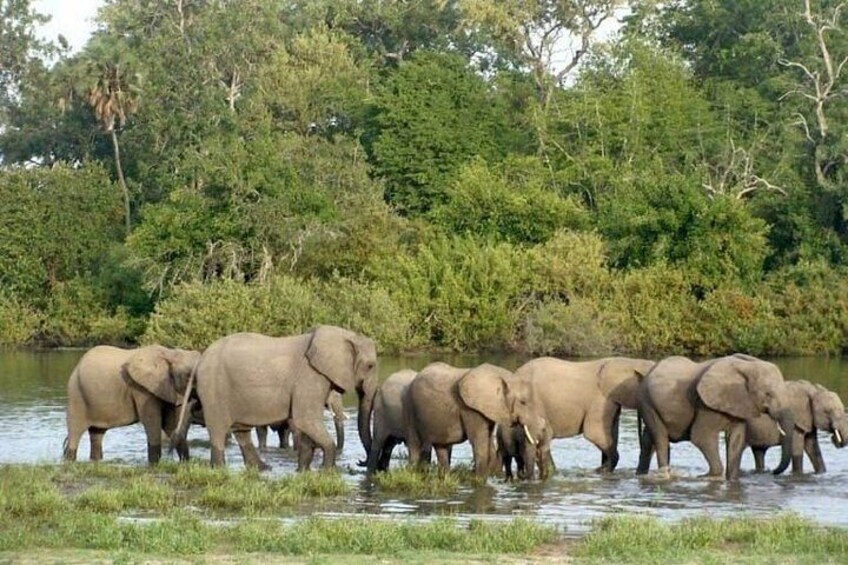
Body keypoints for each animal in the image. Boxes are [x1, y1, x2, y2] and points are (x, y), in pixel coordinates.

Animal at [64, 344, 201, 465]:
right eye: (190, 375)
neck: (171, 353)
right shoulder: (142, 390)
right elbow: (152, 422)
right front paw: (154, 465)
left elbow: (170, 425)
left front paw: (185, 464)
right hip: (76, 394)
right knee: (75, 433)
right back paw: (69, 461)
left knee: (97, 434)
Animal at [174, 325, 377, 470]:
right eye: (370, 366)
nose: (360, 461)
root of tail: (200, 359)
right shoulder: (309, 376)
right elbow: (306, 419)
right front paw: (327, 472)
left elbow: (306, 425)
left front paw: (303, 472)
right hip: (214, 388)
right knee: (218, 429)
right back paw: (219, 469)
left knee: (241, 431)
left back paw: (263, 468)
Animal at [403, 362, 533, 477]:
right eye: (523, 402)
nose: (522, 475)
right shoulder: (469, 409)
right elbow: (478, 441)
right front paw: (479, 482)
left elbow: (488, 440)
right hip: (411, 409)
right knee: (415, 445)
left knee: (441, 447)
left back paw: (445, 477)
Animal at [513, 356, 656, 472]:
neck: (628, 361)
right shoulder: (601, 399)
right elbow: (594, 433)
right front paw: (601, 470)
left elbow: (612, 433)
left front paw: (603, 468)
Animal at [636, 355, 795, 480]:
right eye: (768, 394)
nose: (772, 471)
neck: (747, 367)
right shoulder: (705, 404)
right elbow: (701, 437)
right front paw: (708, 476)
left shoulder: (740, 404)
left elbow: (736, 440)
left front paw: (731, 479)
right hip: (648, 403)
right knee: (660, 439)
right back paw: (664, 475)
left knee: (648, 440)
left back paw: (641, 474)